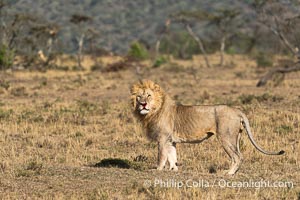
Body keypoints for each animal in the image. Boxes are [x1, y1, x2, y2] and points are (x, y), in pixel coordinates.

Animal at [130, 79, 284, 175]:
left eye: (149, 96)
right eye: (138, 97)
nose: (143, 104)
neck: (151, 112)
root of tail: (236, 110)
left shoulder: (162, 138)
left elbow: (161, 156)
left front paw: (158, 170)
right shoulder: (170, 140)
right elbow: (172, 156)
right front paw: (173, 170)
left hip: (225, 137)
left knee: (238, 156)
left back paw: (229, 173)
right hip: (236, 138)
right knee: (238, 155)